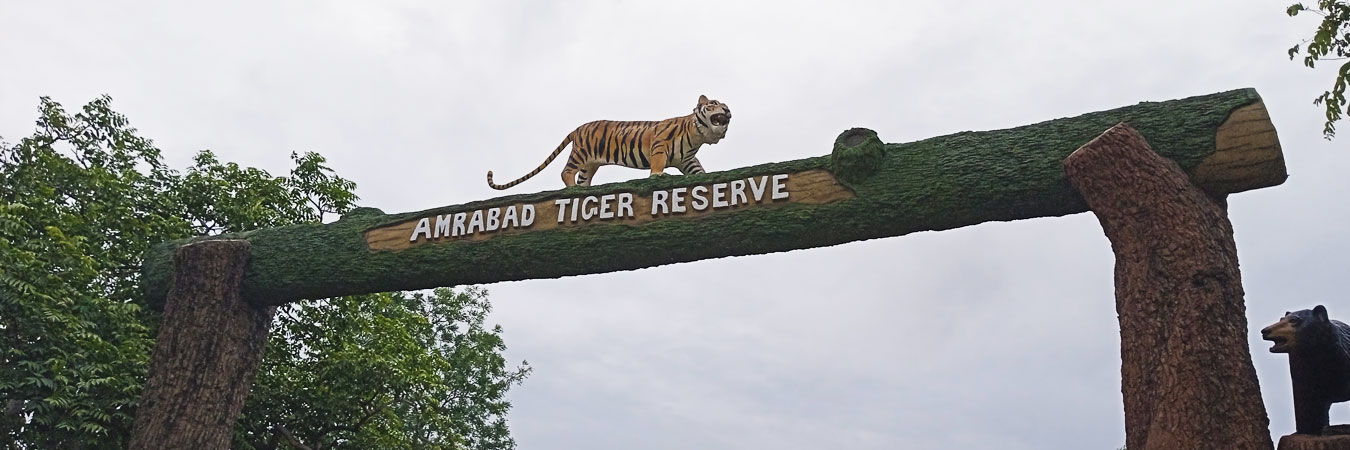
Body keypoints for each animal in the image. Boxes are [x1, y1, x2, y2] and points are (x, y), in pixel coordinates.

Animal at [486, 95, 732, 190]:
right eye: (714, 103)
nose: (728, 109)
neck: (699, 136)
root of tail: (578, 128)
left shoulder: (687, 160)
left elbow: (698, 171)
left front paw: (706, 177)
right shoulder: (660, 145)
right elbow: (658, 165)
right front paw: (658, 175)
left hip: (589, 164)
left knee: (581, 178)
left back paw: (582, 189)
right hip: (580, 153)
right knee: (565, 172)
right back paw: (571, 189)